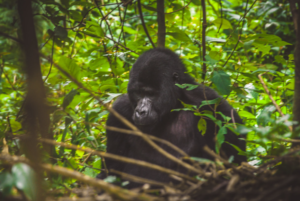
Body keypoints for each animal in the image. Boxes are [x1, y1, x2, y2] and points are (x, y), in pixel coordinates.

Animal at [98, 48, 246, 188]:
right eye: (138, 93)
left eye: (151, 94)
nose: (140, 111)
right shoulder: (119, 111)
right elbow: (111, 171)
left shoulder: (213, 104)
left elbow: (236, 160)